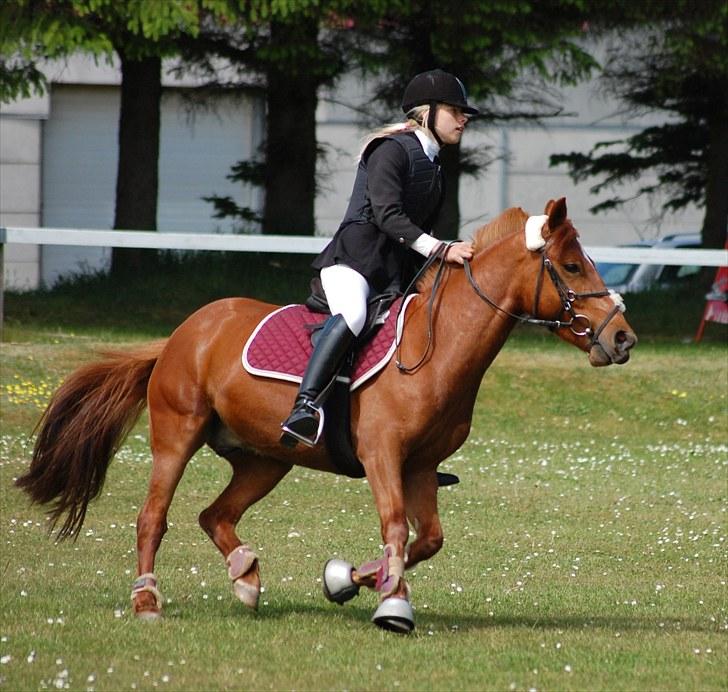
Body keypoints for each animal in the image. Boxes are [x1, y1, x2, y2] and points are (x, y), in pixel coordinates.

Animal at [12, 196, 636, 632]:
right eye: (573, 267)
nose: (623, 339)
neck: (439, 349)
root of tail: (181, 334)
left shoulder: (419, 466)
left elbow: (426, 540)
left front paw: (347, 582)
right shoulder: (383, 455)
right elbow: (395, 527)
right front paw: (393, 607)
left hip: (266, 458)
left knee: (215, 515)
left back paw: (245, 576)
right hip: (177, 433)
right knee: (153, 517)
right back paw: (147, 601)